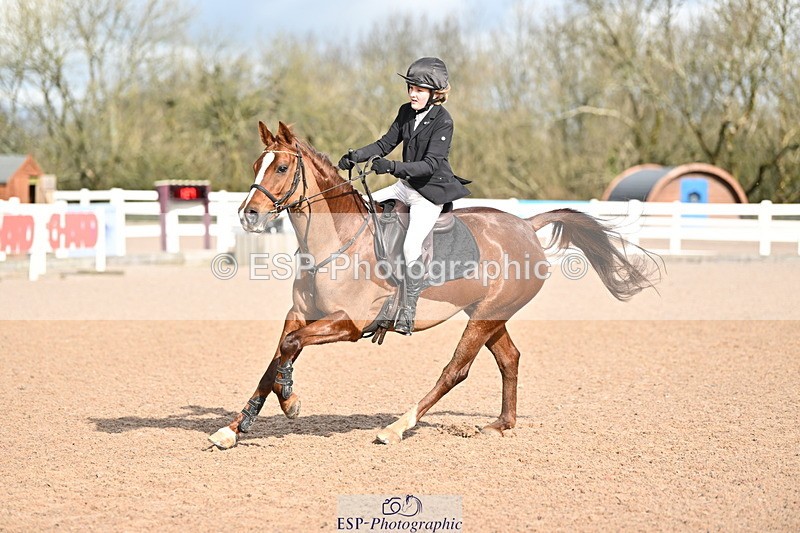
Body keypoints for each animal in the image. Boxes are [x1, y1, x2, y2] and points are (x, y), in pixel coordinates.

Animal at [207, 121, 660, 449]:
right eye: (256, 166)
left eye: (282, 168)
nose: (248, 215)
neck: (336, 243)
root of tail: (526, 225)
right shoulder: (300, 314)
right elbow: (276, 356)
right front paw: (236, 427)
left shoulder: (347, 323)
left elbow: (288, 348)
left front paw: (291, 400)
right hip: (489, 315)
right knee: (509, 358)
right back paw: (501, 424)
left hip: (484, 318)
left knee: (455, 371)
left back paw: (397, 427)